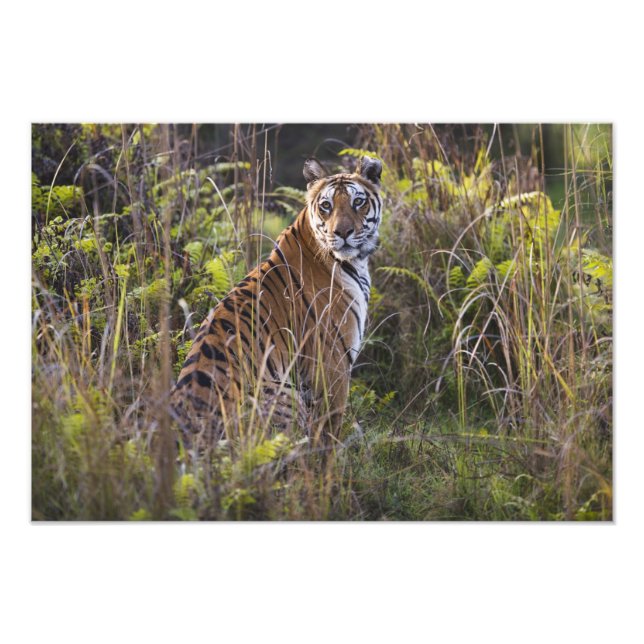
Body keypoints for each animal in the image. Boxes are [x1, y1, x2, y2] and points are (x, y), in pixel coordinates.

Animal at [169, 155, 383, 446]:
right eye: (326, 206)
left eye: (358, 202)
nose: (343, 232)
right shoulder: (332, 364)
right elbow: (328, 433)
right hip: (284, 394)